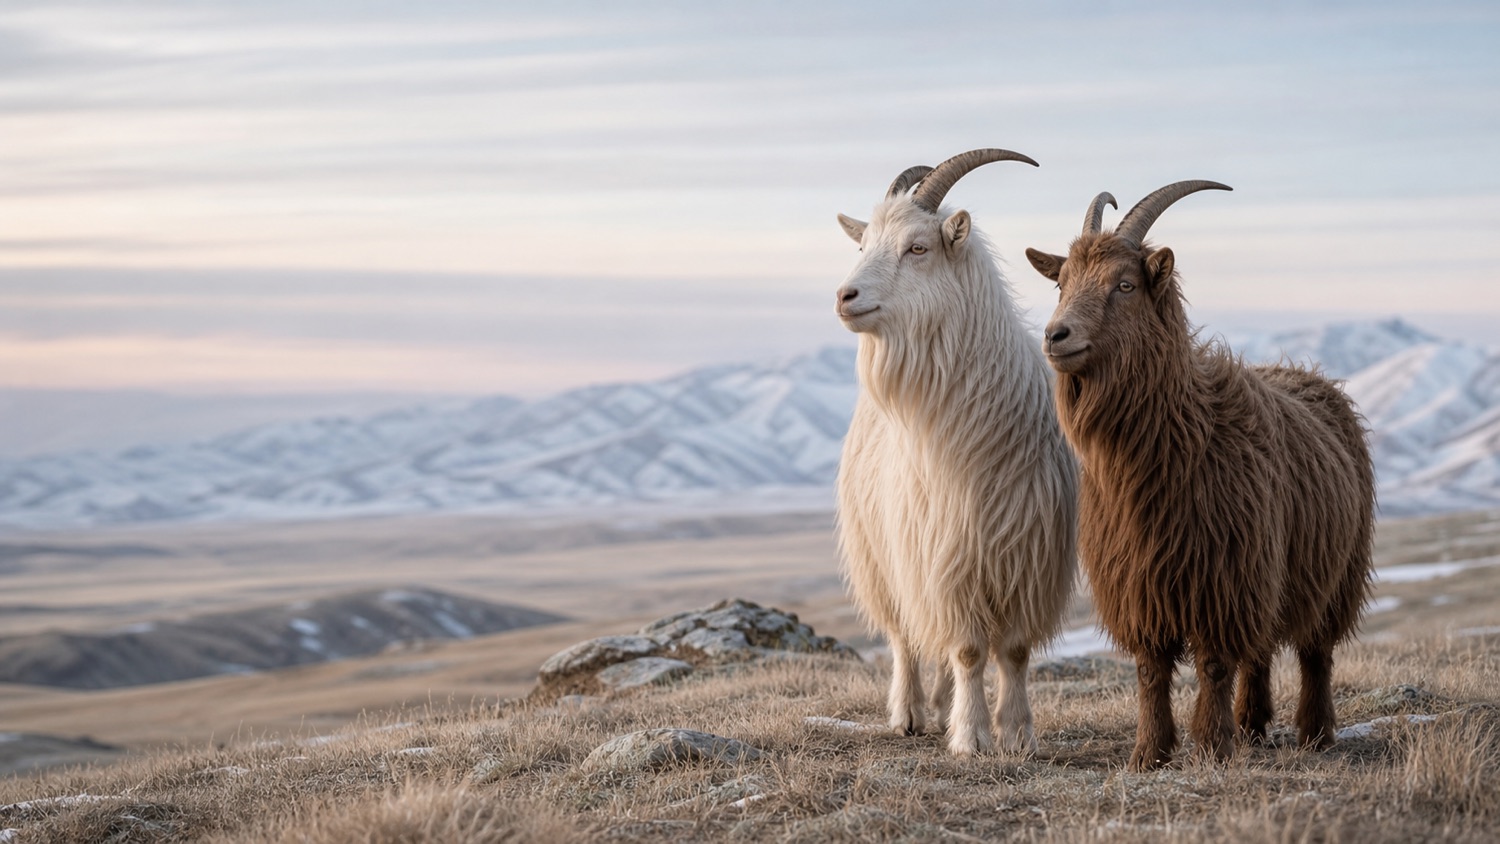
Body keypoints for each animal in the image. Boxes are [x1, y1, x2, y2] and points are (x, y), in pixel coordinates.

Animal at [835, 149, 1079, 757]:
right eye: (862, 244)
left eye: (918, 247)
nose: (845, 297)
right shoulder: (943, 556)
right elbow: (968, 649)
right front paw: (970, 738)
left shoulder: (1027, 556)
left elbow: (1012, 651)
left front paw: (1017, 733)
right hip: (885, 557)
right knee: (904, 635)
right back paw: (909, 713)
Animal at [1026, 182, 1376, 769]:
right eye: (1061, 283)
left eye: (1125, 285)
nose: (1055, 335)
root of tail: (1312, 379)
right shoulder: (1142, 587)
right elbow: (1151, 672)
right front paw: (1149, 752)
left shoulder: (1222, 581)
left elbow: (1213, 665)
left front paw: (1211, 746)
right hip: (1268, 576)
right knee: (1260, 652)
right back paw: (1252, 724)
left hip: (1334, 574)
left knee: (1315, 654)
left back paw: (1315, 733)